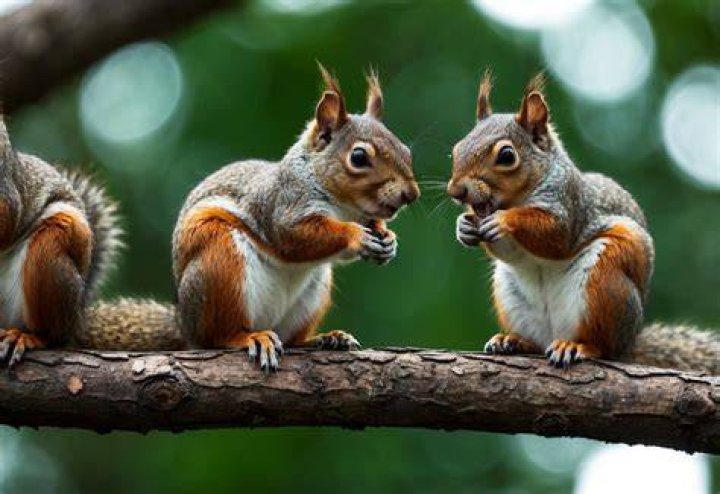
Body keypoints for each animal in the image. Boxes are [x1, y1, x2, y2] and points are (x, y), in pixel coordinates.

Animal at [171, 65, 419, 371]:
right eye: (359, 157)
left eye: (406, 151)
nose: (411, 194)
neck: (346, 207)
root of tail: (186, 327)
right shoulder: (284, 206)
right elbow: (295, 238)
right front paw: (356, 235)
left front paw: (389, 239)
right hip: (219, 264)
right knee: (219, 336)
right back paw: (251, 337)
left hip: (313, 293)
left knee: (291, 339)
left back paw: (325, 339)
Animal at [447, 70, 719, 374]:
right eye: (456, 150)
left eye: (506, 156)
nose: (456, 191)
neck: (518, 198)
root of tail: (628, 344)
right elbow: (509, 251)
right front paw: (464, 226)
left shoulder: (571, 206)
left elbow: (555, 235)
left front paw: (504, 220)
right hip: (511, 296)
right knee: (538, 343)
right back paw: (513, 341)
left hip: (606, 282)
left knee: (602, 347)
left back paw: (577, 346)